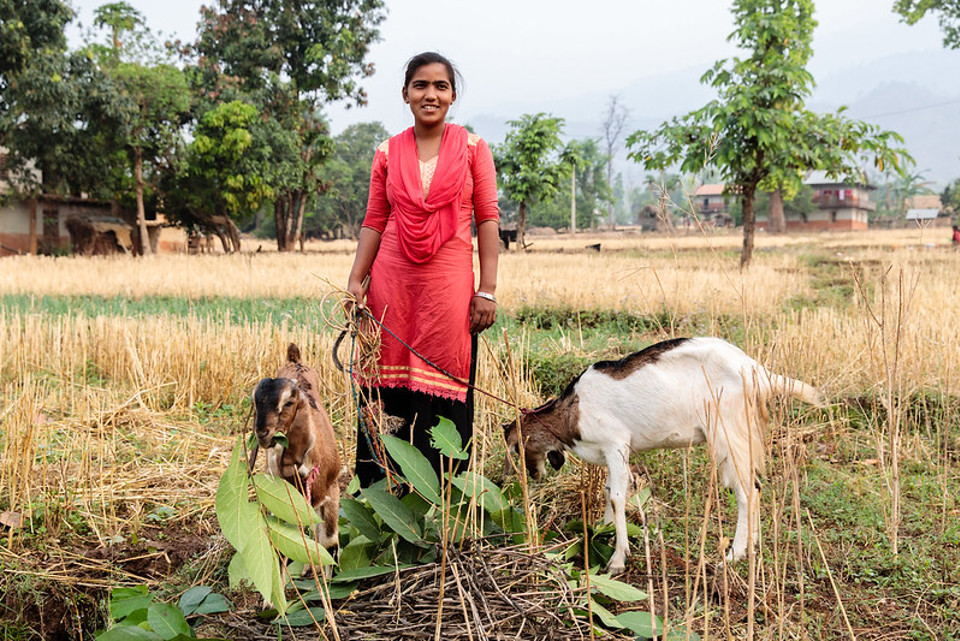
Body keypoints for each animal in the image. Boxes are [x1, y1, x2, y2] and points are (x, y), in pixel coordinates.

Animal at [251, 344, 342, 556]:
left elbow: (329, 543)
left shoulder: (333, 490)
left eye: (288, 403)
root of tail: (295, 359)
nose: (262, 433)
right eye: (255, 403)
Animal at [502, 338, 824, 572]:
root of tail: (759, 372)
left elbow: (618, 496)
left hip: (727, 432)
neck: (573, 411)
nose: (529, 475)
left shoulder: (616, 443)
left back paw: (733, 555)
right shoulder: (610, 453)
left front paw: (617, 560)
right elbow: (607, 490)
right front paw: (603, 529)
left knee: (747, 490)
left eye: (516, 448)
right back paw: (751, 547)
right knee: (754, 487)